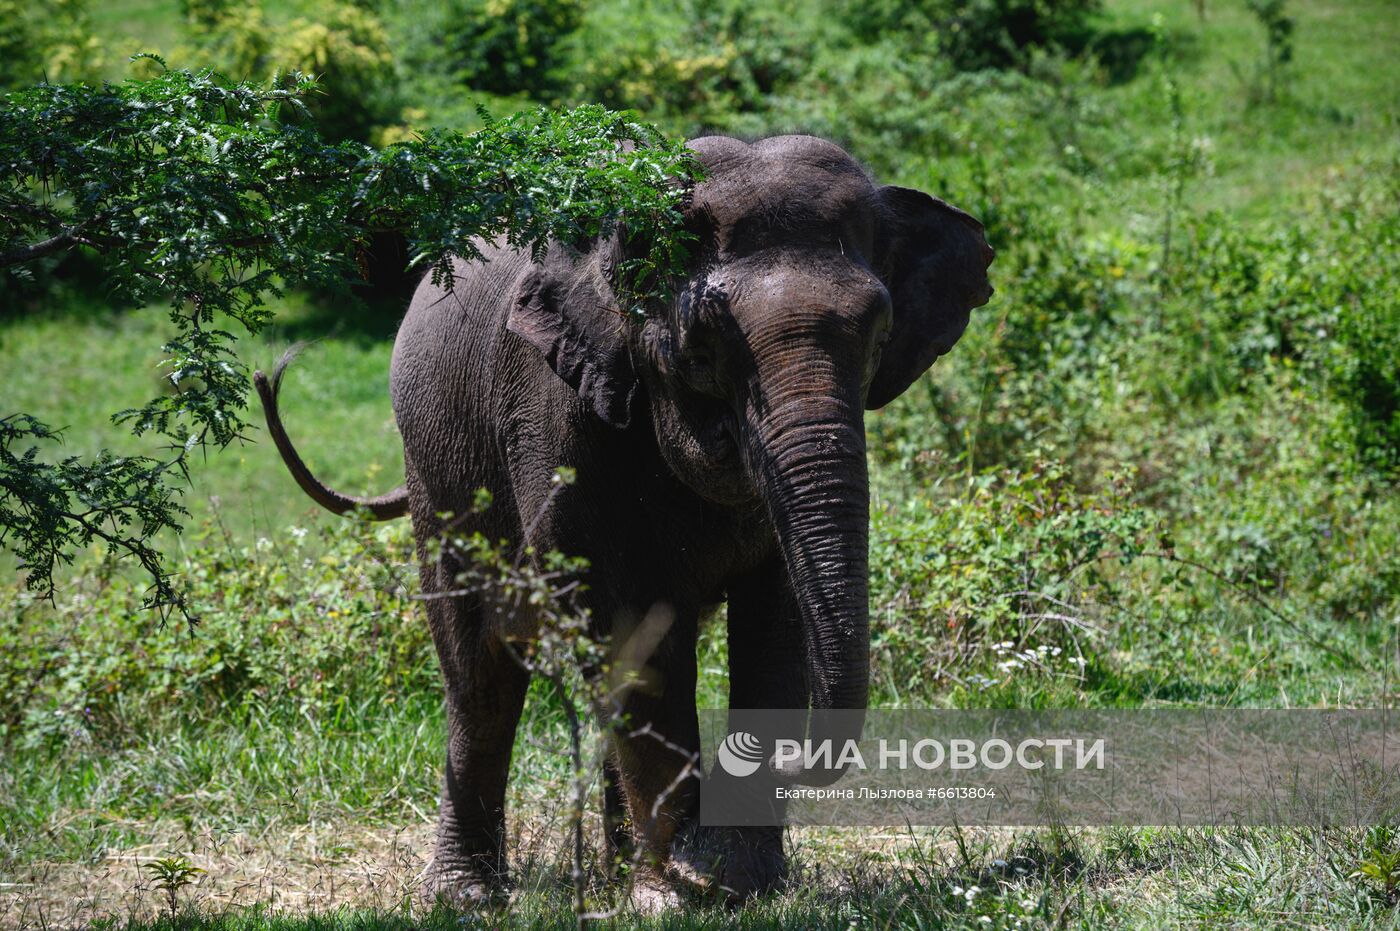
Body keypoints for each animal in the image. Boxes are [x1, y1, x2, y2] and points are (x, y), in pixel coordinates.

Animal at [254, 134, 996, 901]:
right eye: (700, 351)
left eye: (879, 340)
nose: (783, 755)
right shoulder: (559, 411)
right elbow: (633, 627)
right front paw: (677, 888)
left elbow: (775, 623)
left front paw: (739, 881)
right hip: (435, 466)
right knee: (480, 670)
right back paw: (468, 894)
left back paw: (613, 871)